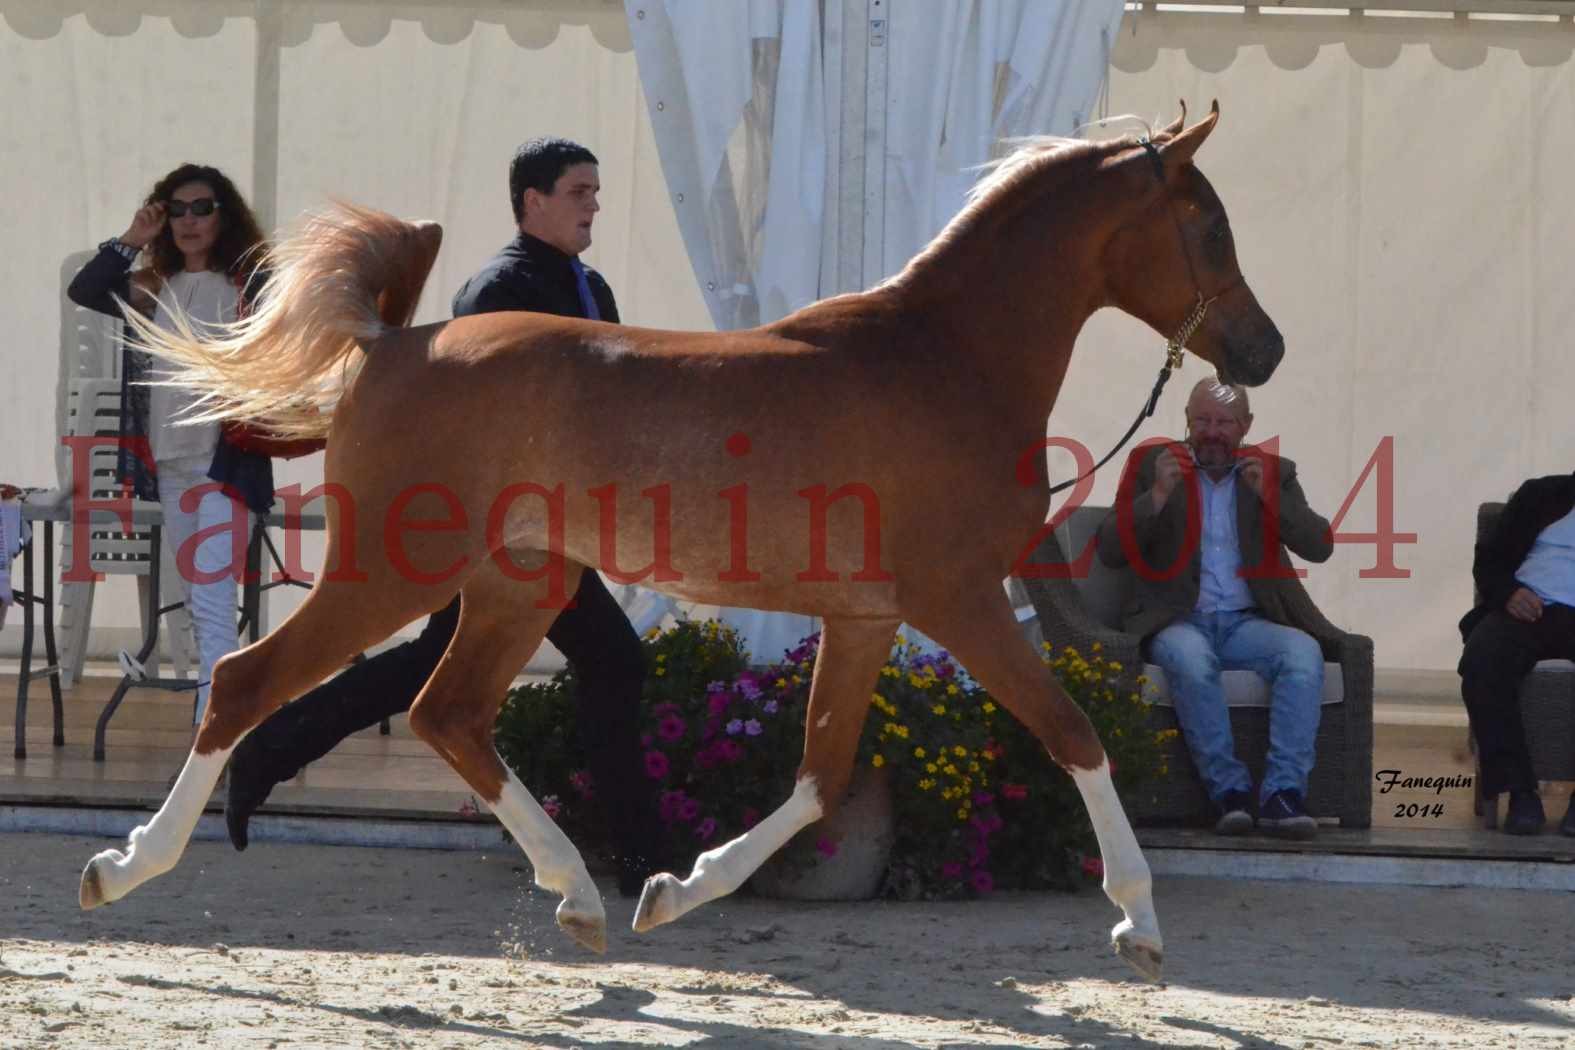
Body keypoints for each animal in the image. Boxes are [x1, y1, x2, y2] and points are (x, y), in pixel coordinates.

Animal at [79, 102, 1278, 982]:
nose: (1261, 351)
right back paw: (124, 867)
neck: (944, 360)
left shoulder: (865, 618)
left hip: (518, 588)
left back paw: (580, 900)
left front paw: (673, 890)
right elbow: (1074, 732)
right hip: (392, 573)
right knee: (248, 681)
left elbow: (821, 778)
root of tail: (393, 344)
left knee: (443, 714)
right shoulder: (962, 601)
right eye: (1209, 226)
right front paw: (1138, 925)